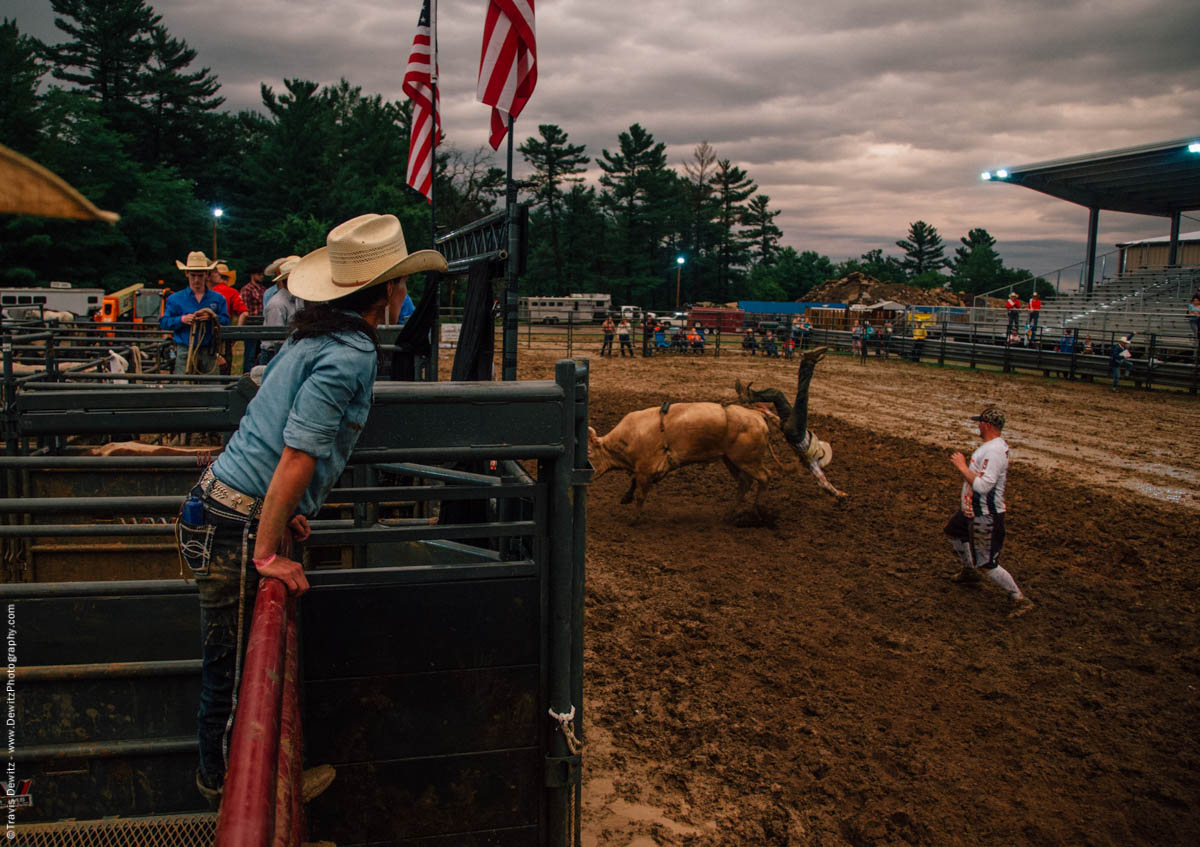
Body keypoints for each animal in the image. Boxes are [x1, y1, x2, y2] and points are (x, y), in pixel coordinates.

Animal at [590, 340, 844, 513]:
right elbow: (633, 483)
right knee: (745, 482)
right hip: (731, 459)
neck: (625, 440)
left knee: (764, 477)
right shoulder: (646, 469)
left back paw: (757, 509)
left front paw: (634, 516)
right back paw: (733, 512)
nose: (588, 474)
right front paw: (625, 498)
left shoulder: (647, 468)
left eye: (590, 453)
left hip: (748, 459)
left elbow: (641, 493)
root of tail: (757, 418)